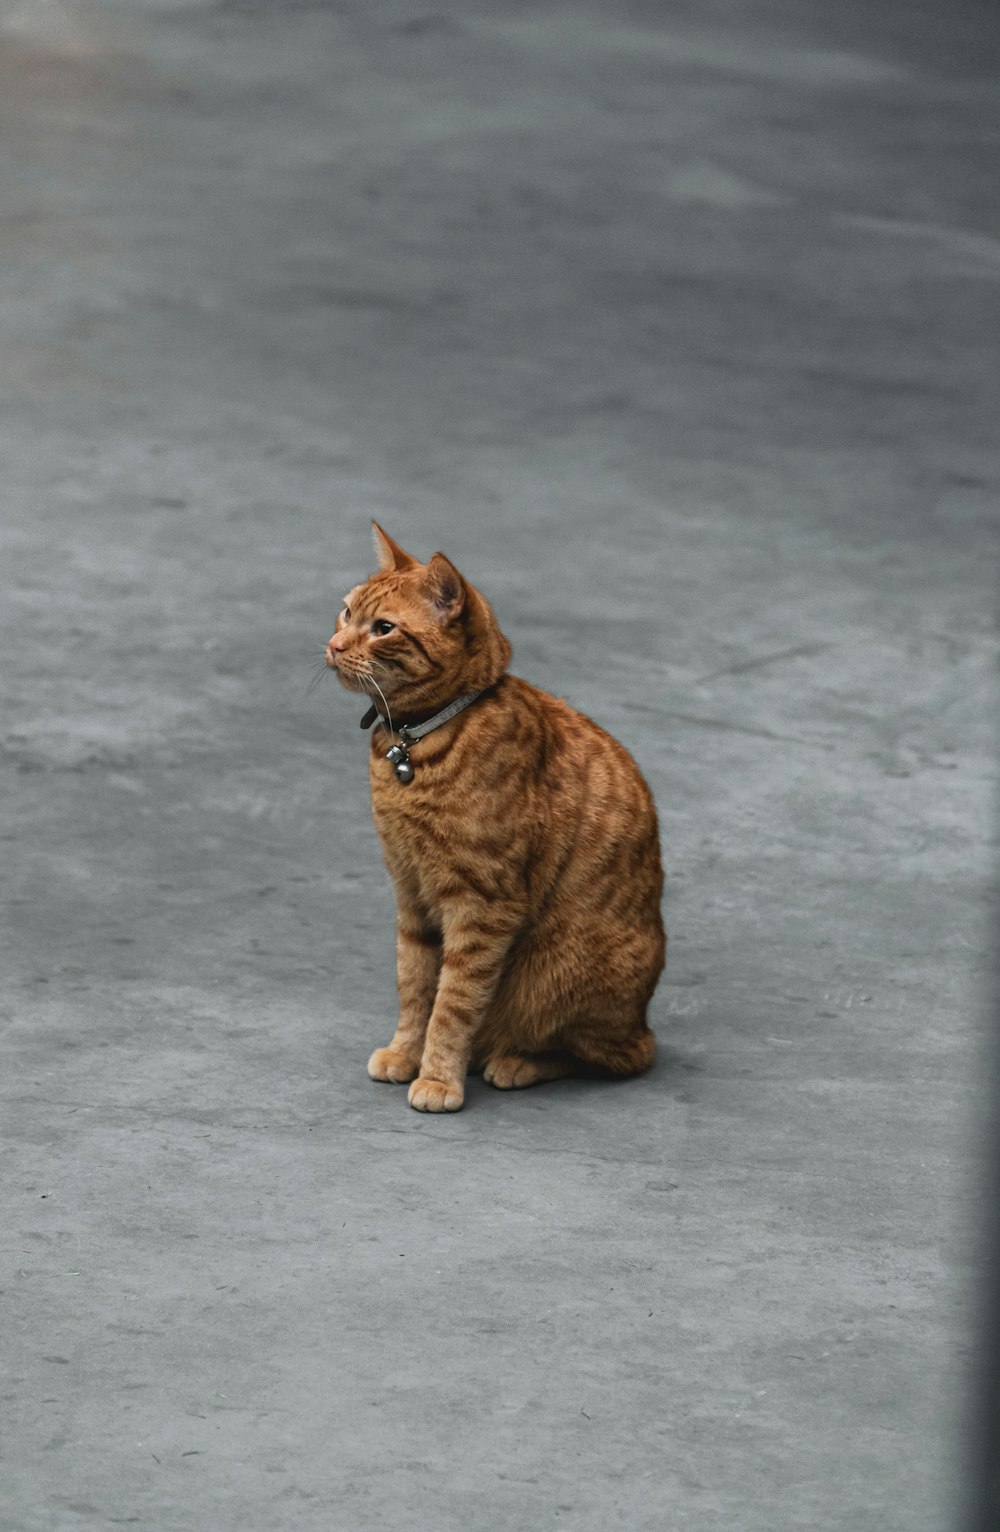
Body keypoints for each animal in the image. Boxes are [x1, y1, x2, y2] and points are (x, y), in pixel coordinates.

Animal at [327, 527, 667, 1115]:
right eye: (346, 612)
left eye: (383, 628)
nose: (333, 645)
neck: (416, 743)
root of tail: (641, 1019)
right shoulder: (411, 894)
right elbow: (415, 987)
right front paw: (405, 1052)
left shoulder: (483, 905)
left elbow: (453, 1003)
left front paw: (438, 1077)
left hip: (560, 973)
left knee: (610, 1056)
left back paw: (515, 1061)